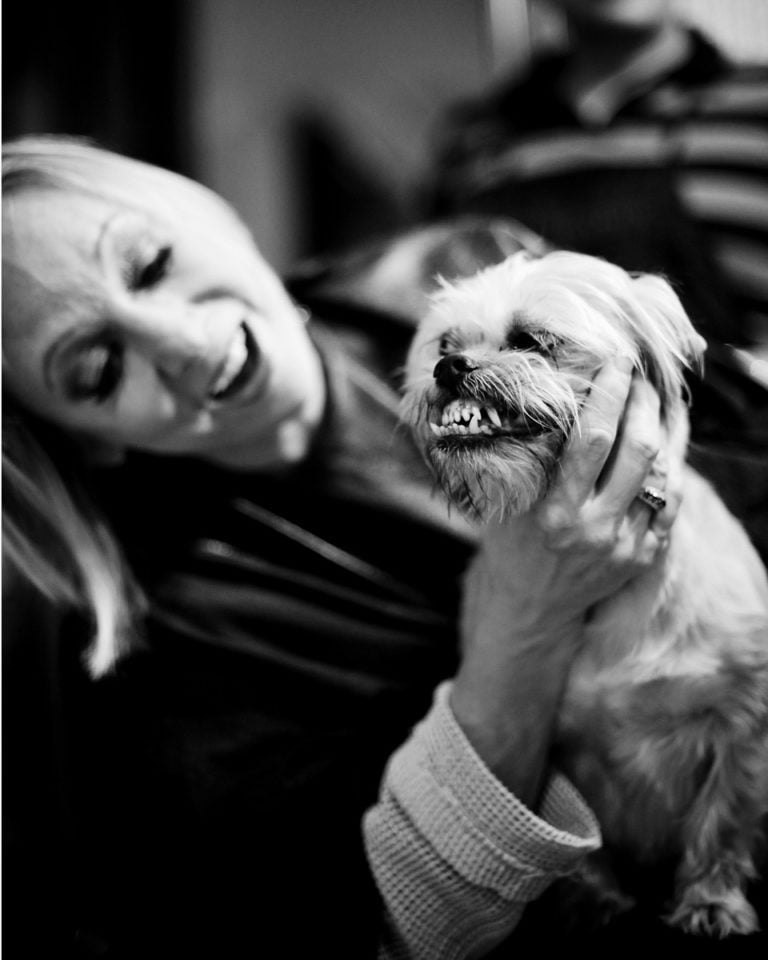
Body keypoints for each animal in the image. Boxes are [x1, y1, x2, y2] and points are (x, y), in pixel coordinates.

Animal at [402, 249, 768, 936]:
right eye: (443, 344)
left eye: (532, 341)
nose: (449, 368)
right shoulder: (560, 747)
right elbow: (582, 841)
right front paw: (595, 898)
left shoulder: (745, 722)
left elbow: (725, 817)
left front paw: (711, 900)